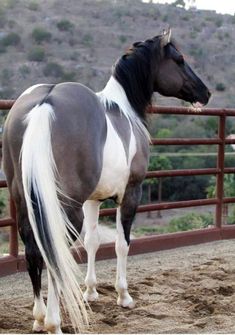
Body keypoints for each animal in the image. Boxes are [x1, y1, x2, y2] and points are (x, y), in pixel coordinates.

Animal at [2, 30, 211, 334]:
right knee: (54, 256)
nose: (205, 93)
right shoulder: (131, 193)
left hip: (26, 203)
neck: (123, 110)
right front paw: (124, 296)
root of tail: (44, 103)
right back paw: (54, 322)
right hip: (65, 210)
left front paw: (90, 292)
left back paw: (39, 318)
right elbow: (122, 244)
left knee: (34, 252)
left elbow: (92, 242)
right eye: (179, 59)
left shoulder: (93, 200)